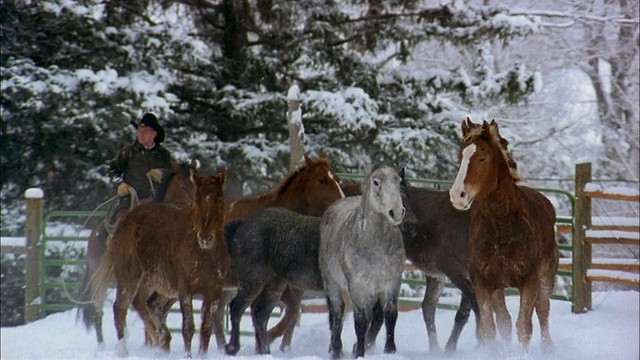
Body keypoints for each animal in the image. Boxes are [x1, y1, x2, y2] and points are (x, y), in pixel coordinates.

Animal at [89, 171, 230, 358]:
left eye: (219, 199)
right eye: (197, 198)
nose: (205, 237)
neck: (203, 252)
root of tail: (126, 218)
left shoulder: (214, 290)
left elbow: (206, 328)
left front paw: (202, 355)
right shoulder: (185, 289)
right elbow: (188, 327)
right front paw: (187, 355)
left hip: (152, 283)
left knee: (146, 305)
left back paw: (160, 340)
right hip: (129, 277)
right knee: (120, 309)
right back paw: (124, 351)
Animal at [320, 164, 404, 360]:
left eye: (398, 180)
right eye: (376, 182)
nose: (396, 212)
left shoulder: (391, 283)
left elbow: (390, 316)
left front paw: (390, 351)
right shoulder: (358, 287)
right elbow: (359, 322)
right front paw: (359, 353)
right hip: (333, 285)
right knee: (337, 313)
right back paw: (336, 350)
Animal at [448, 120, 556, 354]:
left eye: (482, 157)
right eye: (460, 157)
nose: (457, 195)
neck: (502, 226)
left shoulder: (530, 280)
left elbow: (524, 327)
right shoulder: (483, 281)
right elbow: (491, 327)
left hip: (546, 276)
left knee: (543, 312)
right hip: (499, 287)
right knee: (504, 320)